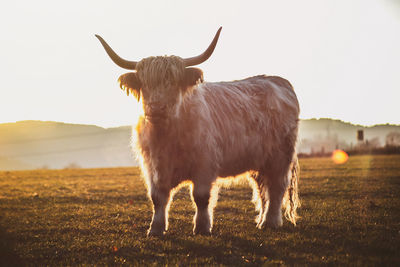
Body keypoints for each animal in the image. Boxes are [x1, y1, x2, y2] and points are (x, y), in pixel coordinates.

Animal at [95, 27, 298, 237]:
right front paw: (156, 228)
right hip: (259, 160)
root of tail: (277, 81)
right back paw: (261, 220)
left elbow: (200, 197)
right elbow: (158, 198)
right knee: (262, 187)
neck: (166, 136)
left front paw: (202, 227)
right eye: (144, 83)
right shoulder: (153, 166)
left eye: (174, 82)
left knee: (276, 187)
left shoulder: (204, 164)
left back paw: (270, 221)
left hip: (280, 157)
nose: (157, 108)